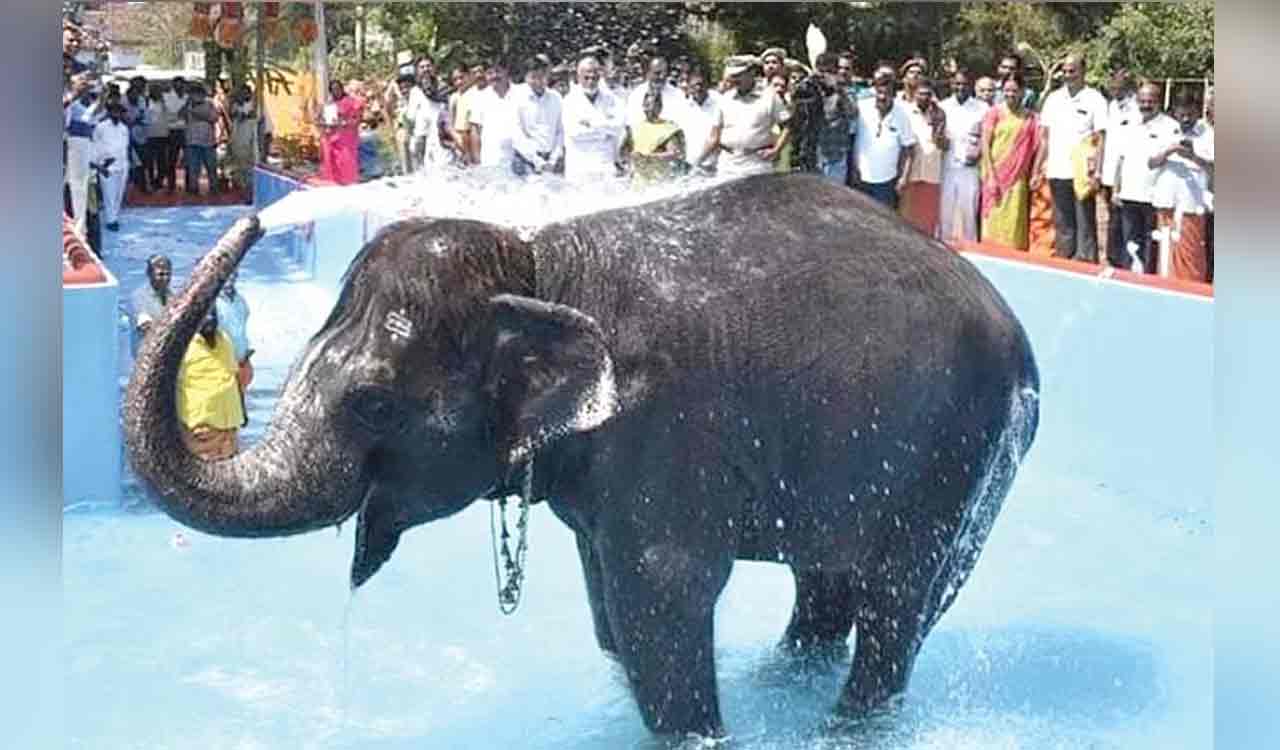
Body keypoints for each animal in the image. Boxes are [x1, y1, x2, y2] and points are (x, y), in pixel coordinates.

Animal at [124, 172, 1040, 740]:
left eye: (373, 402)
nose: (253, 215)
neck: (537, 265)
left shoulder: (663, 428)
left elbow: (663, 595)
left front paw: (698, 732)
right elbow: (608, 603)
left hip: (964, 455)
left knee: (898, 600)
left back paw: (843, 726)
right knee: (832, 586)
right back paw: (786, 681)